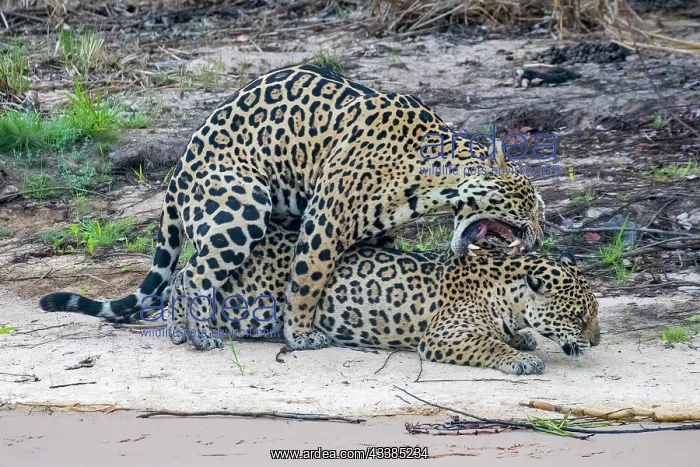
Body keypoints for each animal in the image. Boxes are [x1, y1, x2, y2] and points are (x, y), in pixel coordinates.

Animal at [40, 64, 545, 352]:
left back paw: (188, 329)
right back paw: (199, 336)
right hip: (240, 208)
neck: (433, 179)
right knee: (194, 274)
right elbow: (307, 280)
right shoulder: (326, 220)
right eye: (535, 204)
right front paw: (300, 334)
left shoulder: (376, 232)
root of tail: (174, 178)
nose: (541, 236)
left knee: (187, 274)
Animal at [43, 222, 600, 375]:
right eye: (579, 315)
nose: (596, 341)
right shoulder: (447, 335)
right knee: (183, 280)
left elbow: (516, 334)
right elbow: (489, 345)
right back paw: (189, 331)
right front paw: (520, 358)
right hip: (240, 292)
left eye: (593, 313)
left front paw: (525, 341)